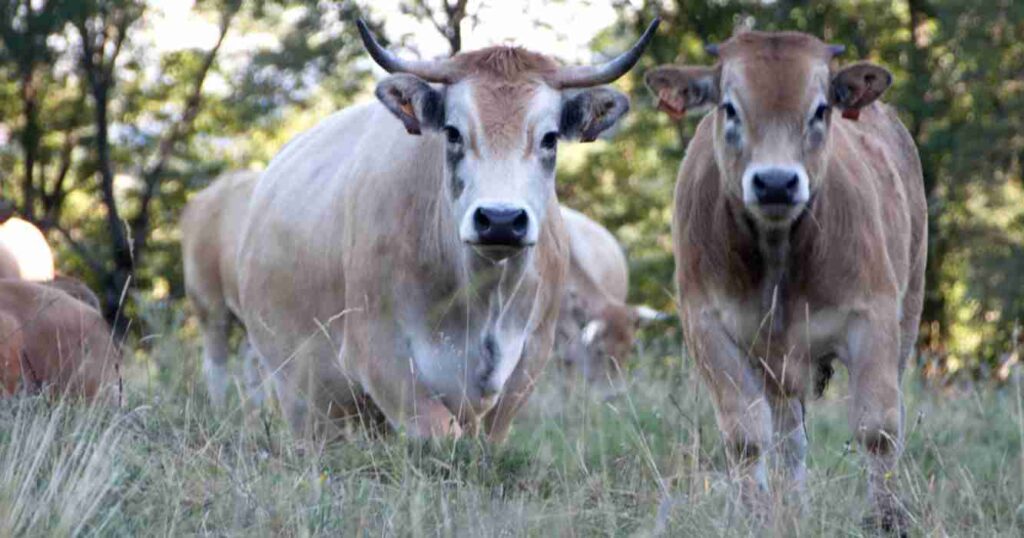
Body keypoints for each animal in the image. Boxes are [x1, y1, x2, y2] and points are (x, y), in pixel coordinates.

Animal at [647, 30, 929, 528]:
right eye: (729, 107)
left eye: (820, 108)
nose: (776, 182)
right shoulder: (707, 328)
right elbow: (746, 436)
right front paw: (754, 516)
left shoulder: (873, 318)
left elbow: (877, 428)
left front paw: (887, 518)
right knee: (787, 436)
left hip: (908, 307)